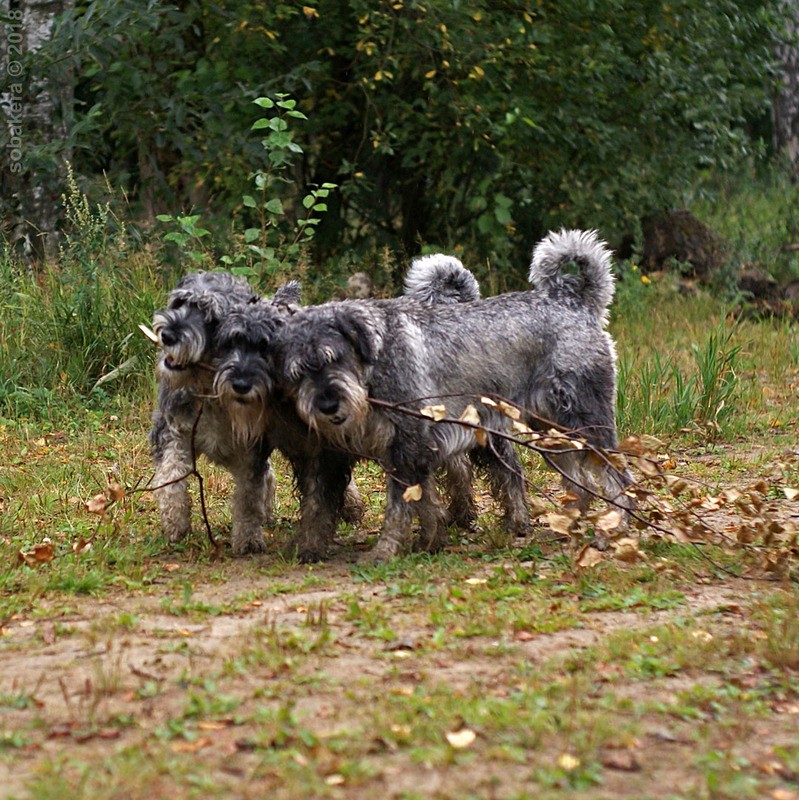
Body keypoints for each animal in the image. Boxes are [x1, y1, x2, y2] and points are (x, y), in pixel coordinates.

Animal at [148, 272, 300, 552]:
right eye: (179, 303)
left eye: (211, 318)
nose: (169, 335)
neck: (210, 390)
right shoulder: (173, 432)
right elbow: (170, 475)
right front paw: (175, 522)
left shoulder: (250, 452)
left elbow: (248, 498)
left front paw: (248, 538)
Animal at [278, 228, 636, 560]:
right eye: (297, 372)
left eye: (334, 357)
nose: (327, 404)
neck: (377, 352)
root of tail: (576, 302)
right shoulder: (409, 450)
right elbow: (424, 500)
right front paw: (431, 540)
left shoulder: (408, 446)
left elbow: (400, 506)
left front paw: (385, 551)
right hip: (550, 427)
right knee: (578, 479)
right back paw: (568, 523)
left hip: (586, 420)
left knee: (618, 477)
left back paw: (613, 530)